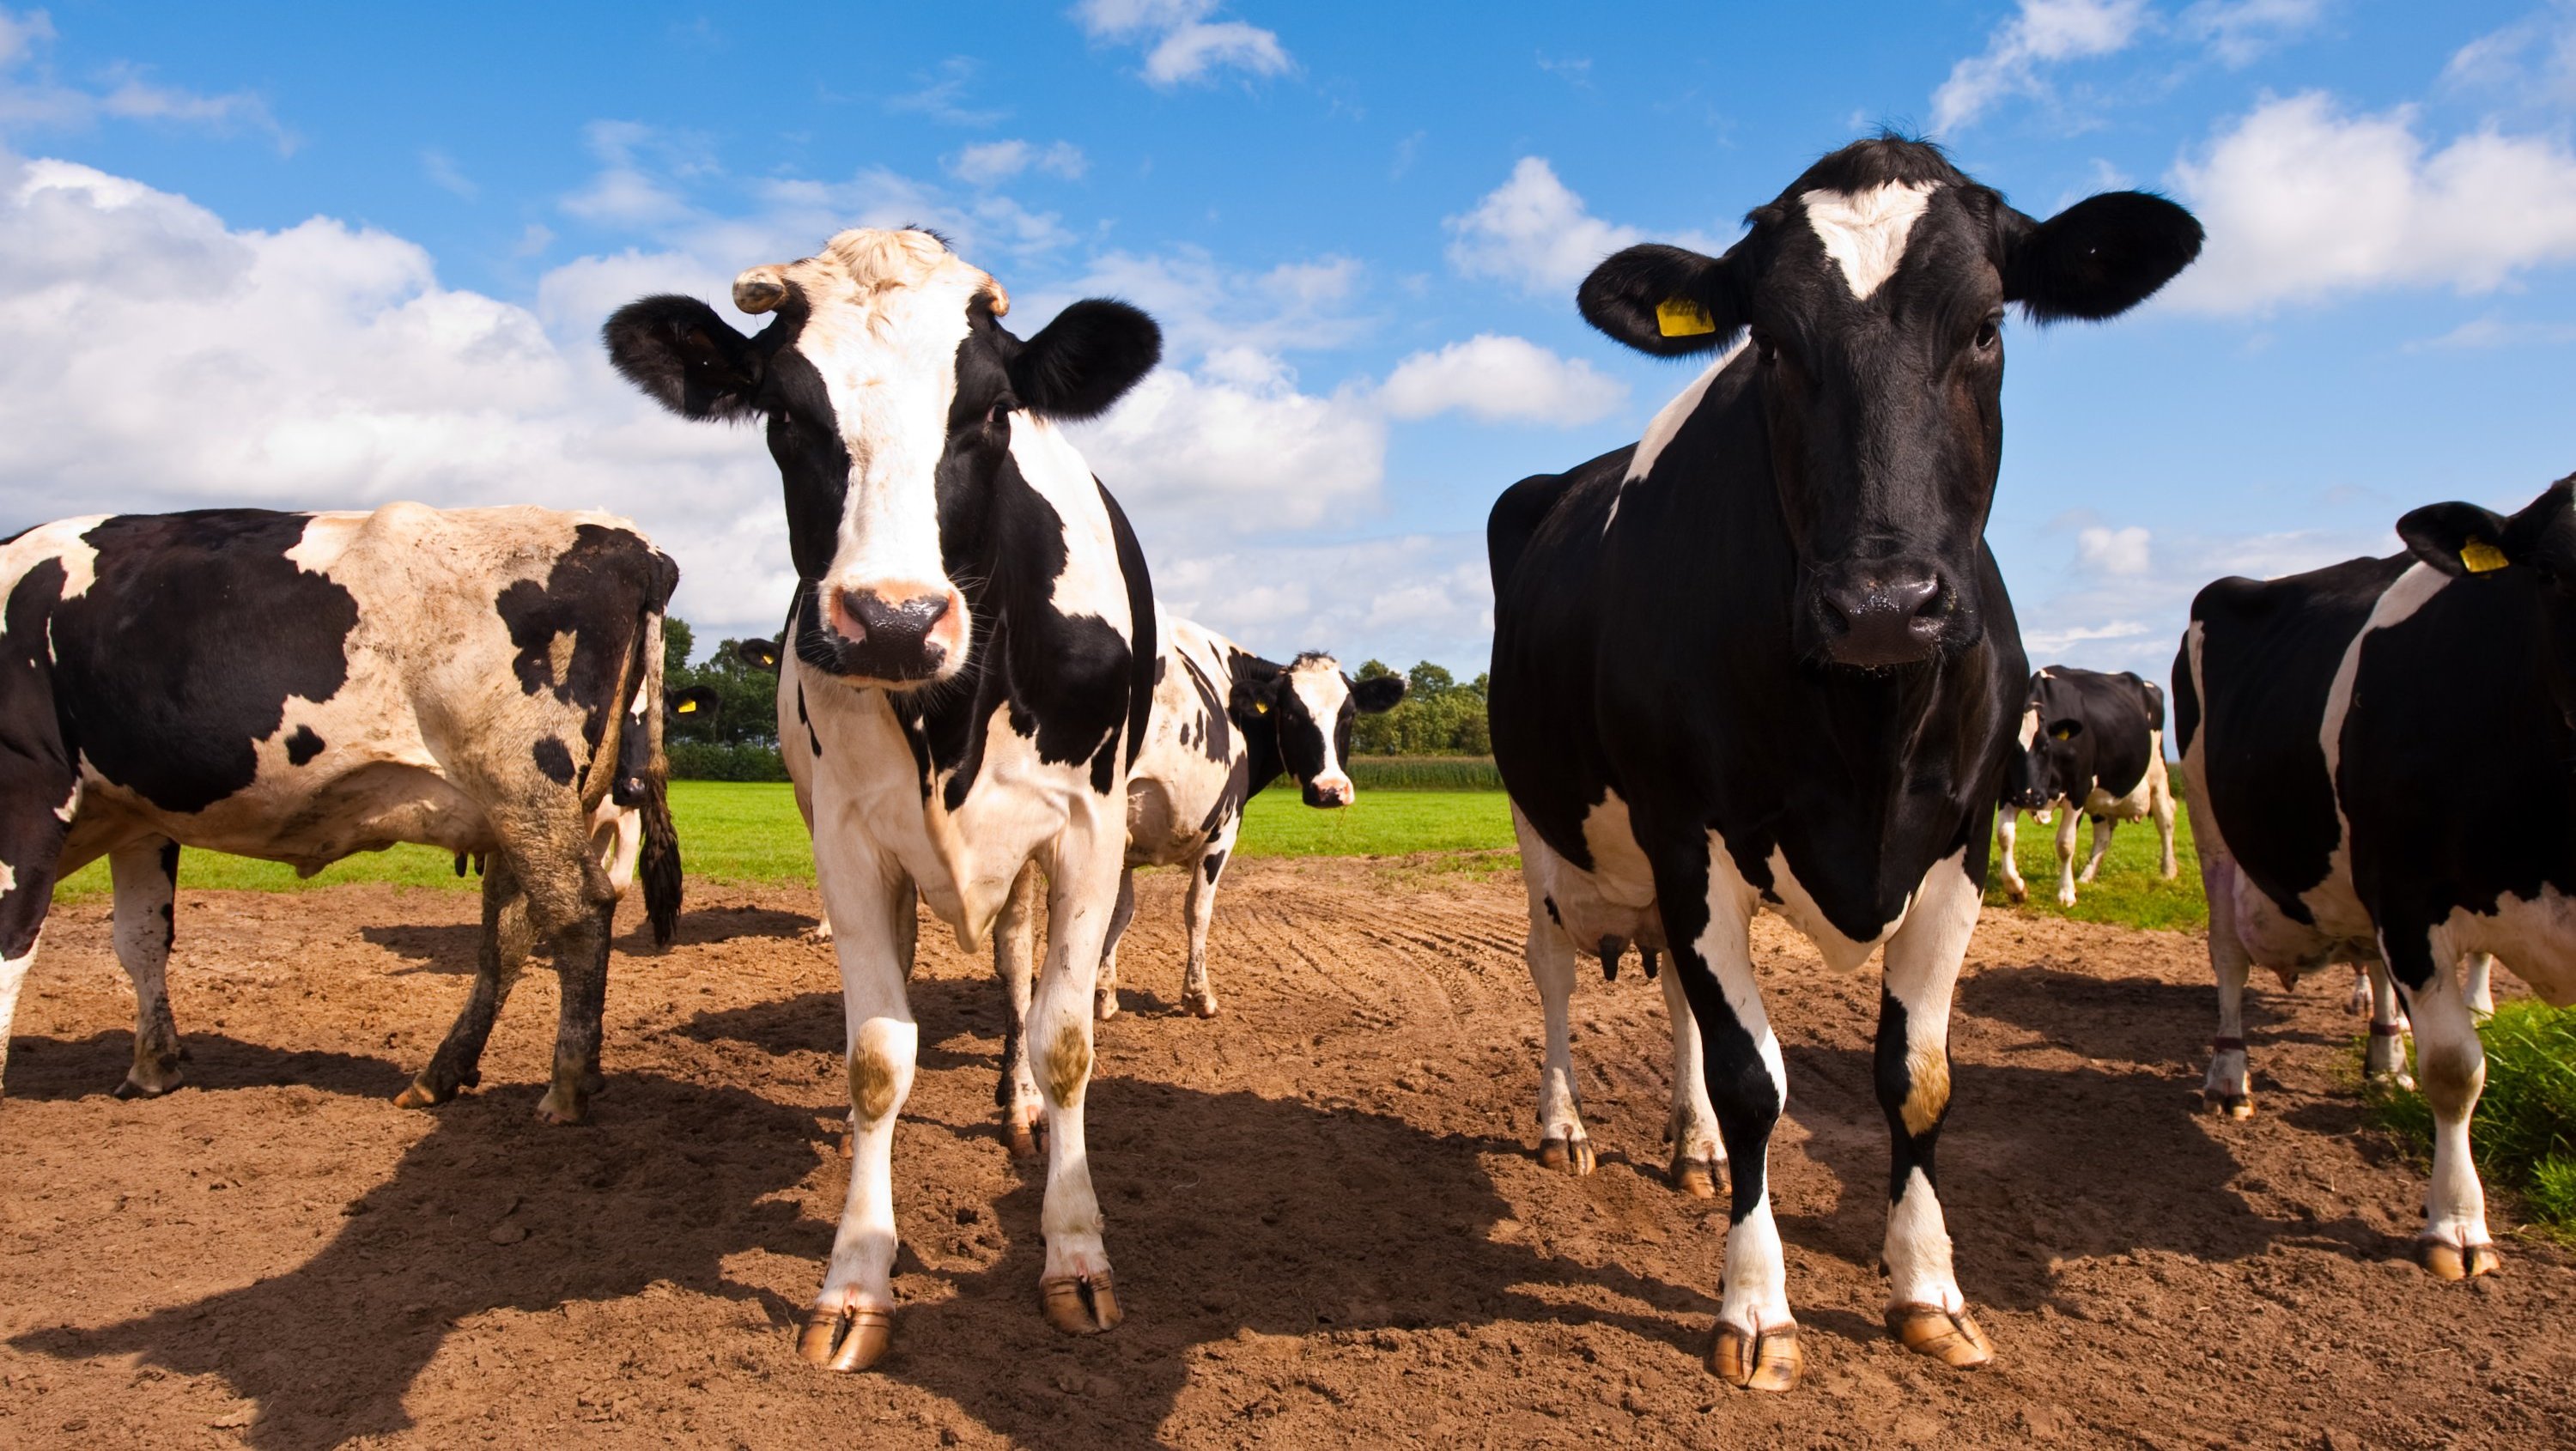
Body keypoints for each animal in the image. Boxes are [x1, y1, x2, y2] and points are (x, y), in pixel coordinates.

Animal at [0, 505, 685, 1128]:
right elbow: (140, 940)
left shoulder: (27, 786)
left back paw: (564, 1090)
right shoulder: (140, 819)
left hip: (523, 787)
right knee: (511, 932)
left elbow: (12, 944)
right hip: (532, 809)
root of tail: (632, 542)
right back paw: (440, 1075)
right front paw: (152, 1068)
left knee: (577, 914)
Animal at [603, 227, 1159, 1370]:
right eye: (784, 415)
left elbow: (1066, 1039)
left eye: (989, 410)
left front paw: (1076, 1255)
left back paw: (1017, 1103)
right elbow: (875, 1058)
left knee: (1019, 972)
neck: (950, 715)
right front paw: (858, 1278)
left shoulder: (1089, 831)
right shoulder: (851, 846)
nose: (895, 621)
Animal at [1989, 665, 2174, 907]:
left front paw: (2066, 893)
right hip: (2099, 800)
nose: (2029, 798)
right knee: (2103, 836)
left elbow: (2065, 844)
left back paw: (2168, 871)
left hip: (2158, 776)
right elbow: (2004, 836)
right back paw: (2086, 877)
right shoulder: (2008, 793)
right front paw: (2016, 888)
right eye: (2010, 747)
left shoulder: (2078, 791)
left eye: (2046, 744)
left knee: (2165, 819)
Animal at [2174, 471, 2576, 1278]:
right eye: (2551, 573)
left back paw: (2386, 1056)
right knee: (2228, 954)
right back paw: (2231, 1078)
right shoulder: (2412, 897)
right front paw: (2456, 1225)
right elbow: (2456, 1069)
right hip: (2211, 820)